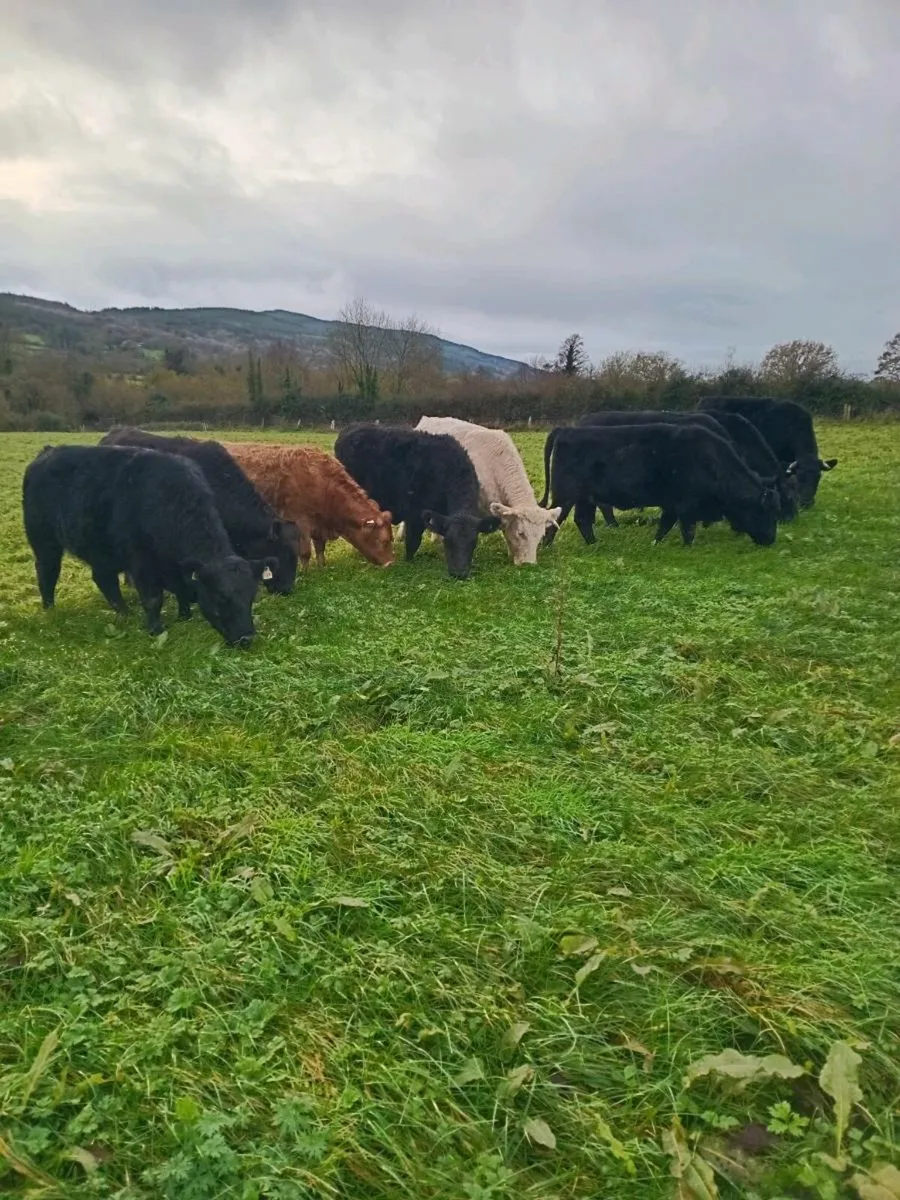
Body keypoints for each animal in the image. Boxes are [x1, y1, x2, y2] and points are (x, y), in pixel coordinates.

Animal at [22, 444, 276, 645]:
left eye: (251, 597)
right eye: (221, 598)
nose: (246, 638)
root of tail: (47, 452)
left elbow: (181, 591)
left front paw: (184, 616)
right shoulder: (142, 565)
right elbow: (153, 599)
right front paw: (156, 629)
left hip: (101, 551)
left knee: (104, 579)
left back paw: (124, 612)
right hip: (44, 541)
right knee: (47, 572)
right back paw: (50, 608)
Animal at [220, 442, 394, 569]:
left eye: (391, 539)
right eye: (384, 541)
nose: (390, 564)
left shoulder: (319, 524)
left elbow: (320, 548)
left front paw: (322, 567)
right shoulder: (300, 521)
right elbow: (305, 552)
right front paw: (305, 573)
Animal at [334, 423, 501, 579]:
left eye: (473, 543)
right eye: (449, 541)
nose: (459, 574)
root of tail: (352, 427)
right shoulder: (415, 515)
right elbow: (413, 542)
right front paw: (409, 562)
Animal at [540, 423, 780, 547]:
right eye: (767, 512)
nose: (771, 540)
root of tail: (568, 429)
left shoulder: (672, 505)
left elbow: (665, 525)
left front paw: (655, 543)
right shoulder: (685, 504)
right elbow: (687, 529)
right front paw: (688, 547)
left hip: (585, 497)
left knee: (582, 520)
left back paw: (594, 544)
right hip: (566, 494)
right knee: (557, 517)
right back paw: (547, 545)